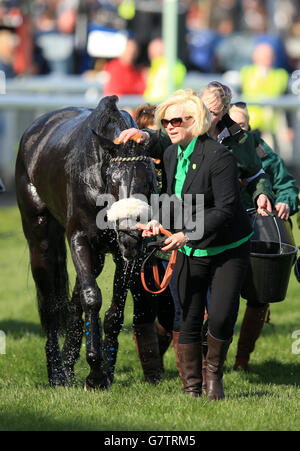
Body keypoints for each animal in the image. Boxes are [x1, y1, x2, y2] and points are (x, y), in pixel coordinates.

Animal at [14, 94, 158, 388]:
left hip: (99, 254)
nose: (130, 232)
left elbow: (114, 311)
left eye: (149, 180)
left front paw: (106, 369)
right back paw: (57, 373)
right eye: (113, 180)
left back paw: (69, 364)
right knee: (50, 303)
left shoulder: (123, 252)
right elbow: (92, 297)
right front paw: (94, 373)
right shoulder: (79, 238)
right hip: (39, 232)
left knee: (74, 299)